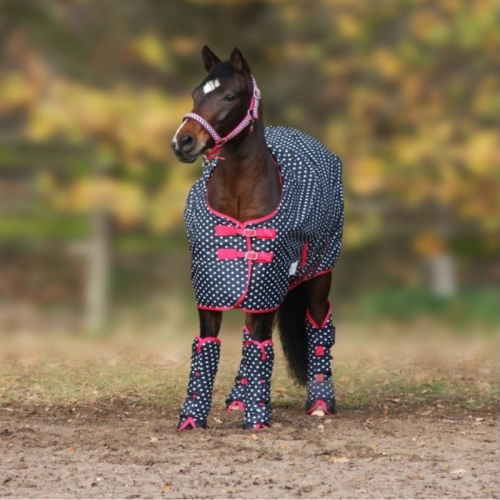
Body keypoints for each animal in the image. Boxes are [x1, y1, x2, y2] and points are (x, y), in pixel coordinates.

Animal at [170, 47, 342, 430]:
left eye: (230, 96)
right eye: (196, 93)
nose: (182, 142)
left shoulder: (267, 283)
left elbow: (261, 347)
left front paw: (258, 418)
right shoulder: (211, 289)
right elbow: (207, 346)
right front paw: (192, 418)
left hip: (318, 275)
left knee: (318, 326)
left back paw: (320, 402)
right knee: (249, 334)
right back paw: (238, 397)